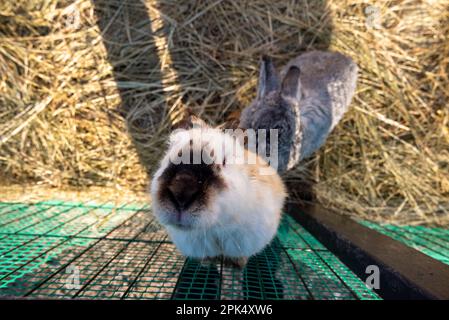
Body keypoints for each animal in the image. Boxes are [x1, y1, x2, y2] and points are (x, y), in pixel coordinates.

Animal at [150, 115, 284, 268]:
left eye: (224, 162)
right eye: (168, 159)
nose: (181, 195)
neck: (214, 227)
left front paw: (237, 265)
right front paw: (207, 263)